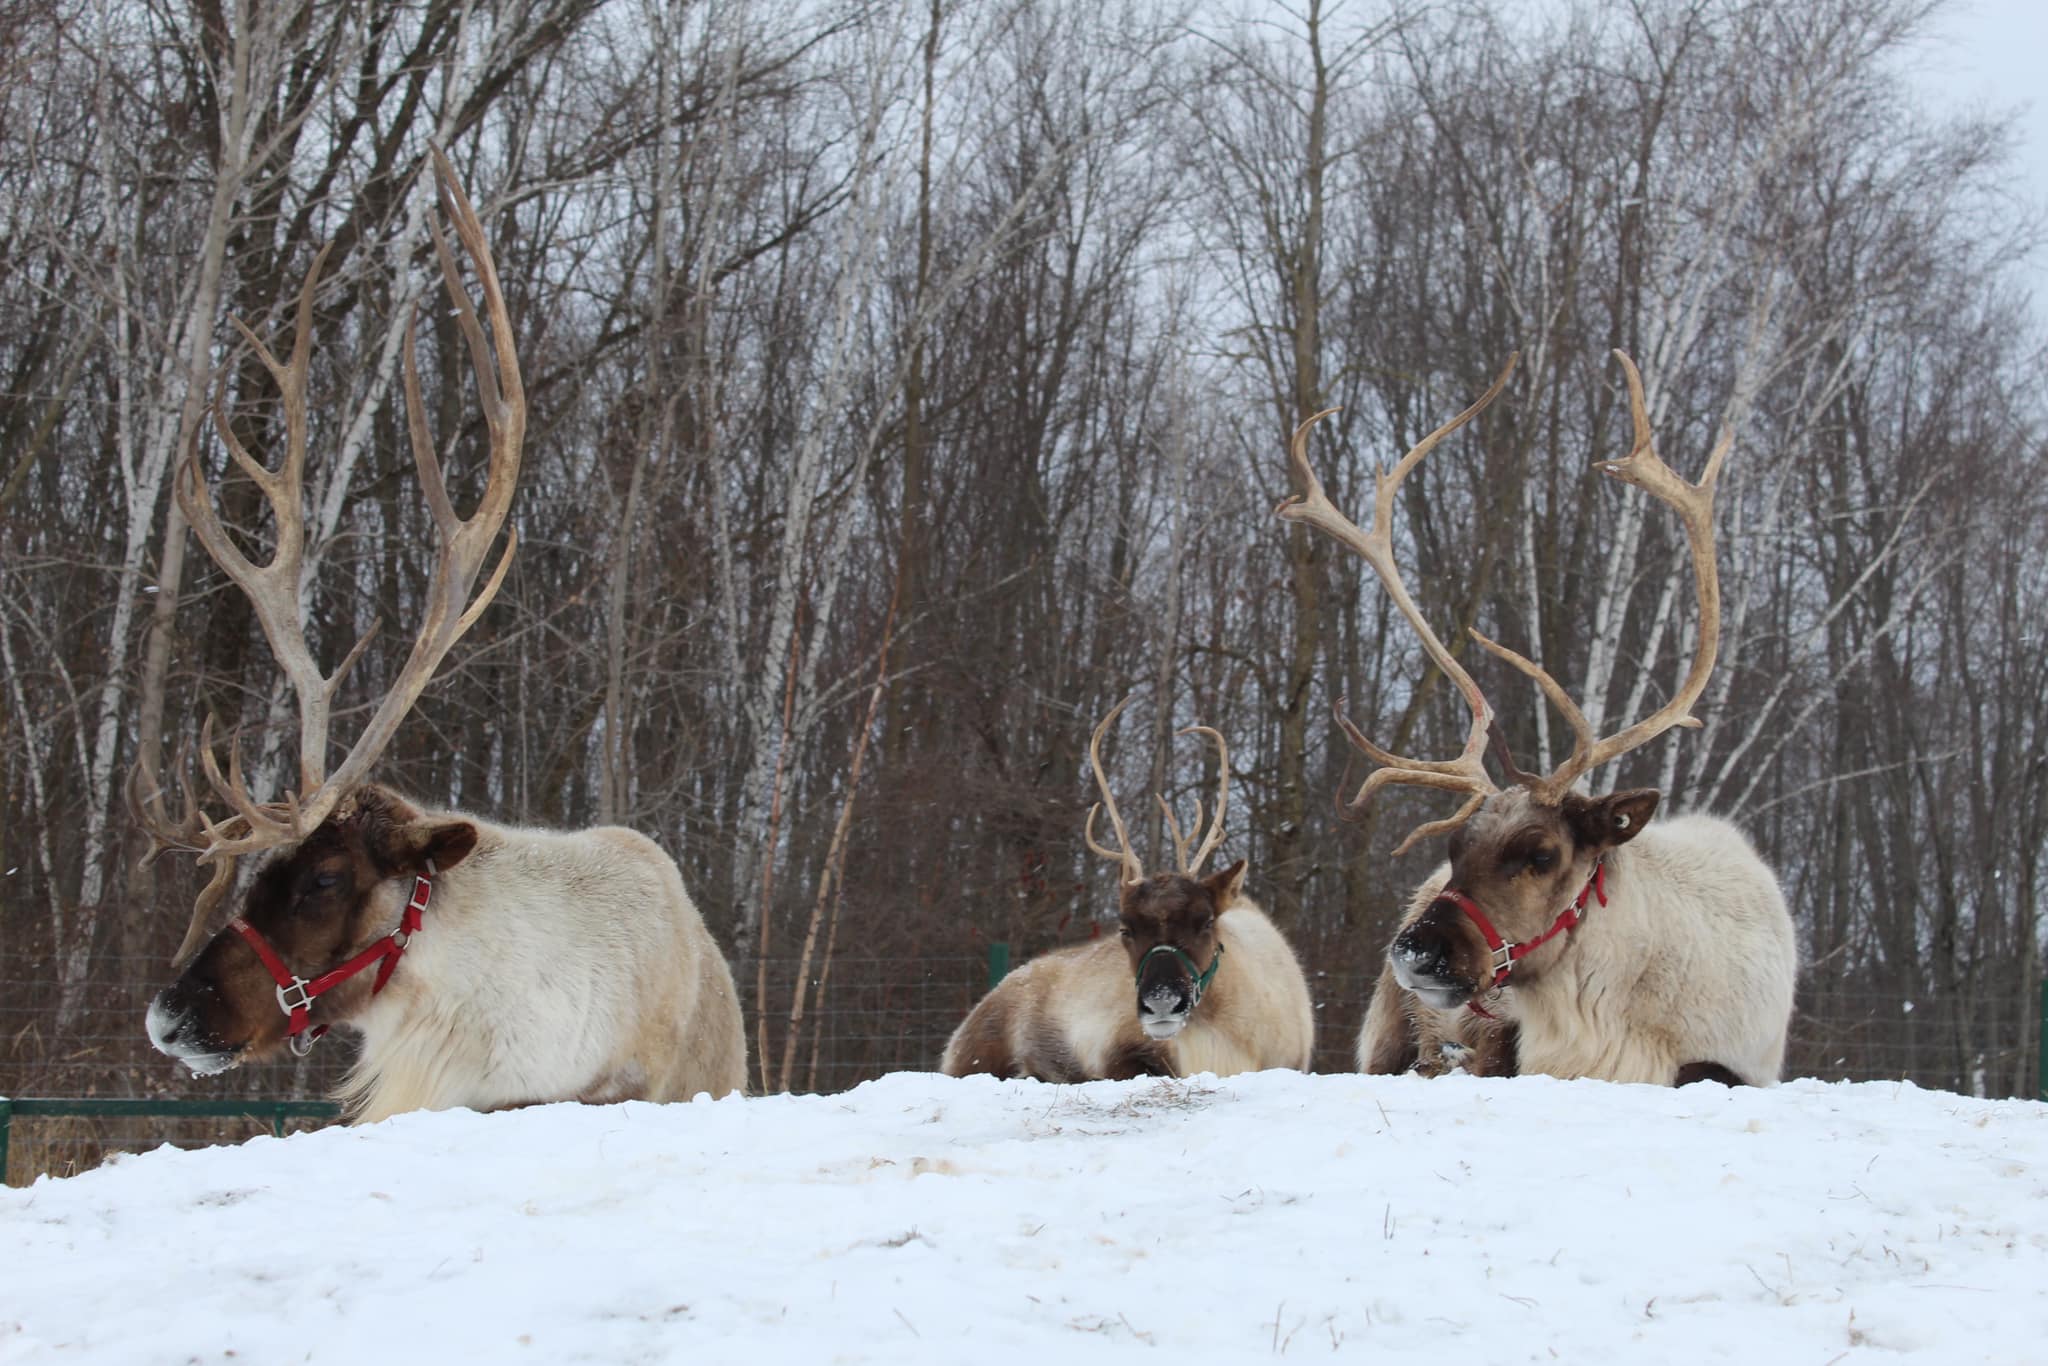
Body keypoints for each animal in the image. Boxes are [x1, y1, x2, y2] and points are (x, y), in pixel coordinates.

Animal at [941, 699, 1315, 1082]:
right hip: (976, 1055)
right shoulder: (1122, 1048)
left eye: (1206, 921)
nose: (1161, 1002)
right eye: (1125, 928)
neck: (1221, 1037)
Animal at [1278, 352, 1796, 1087]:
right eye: (1455, 847)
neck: (1608, 1022)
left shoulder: (1741, 1063)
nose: (1414, 950)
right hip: (1387, 1033)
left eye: (1542, 854)